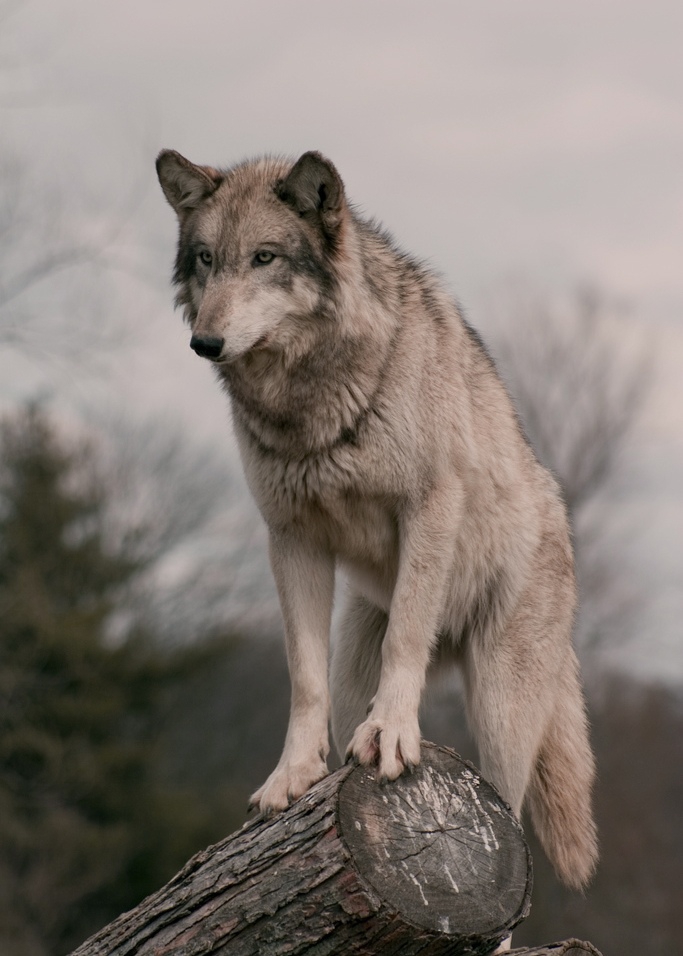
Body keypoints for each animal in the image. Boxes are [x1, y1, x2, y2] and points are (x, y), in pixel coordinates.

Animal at [156, 148, 598, 889]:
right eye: (207, 260)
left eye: (265, 257)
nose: (203, 342)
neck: (311, 400)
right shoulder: (291, 537)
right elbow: (301, 677)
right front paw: (292, 774)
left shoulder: (428, 506)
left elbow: (407, 641)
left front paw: (391, 733)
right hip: (354, 664)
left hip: (502, 707)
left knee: (507, 819)